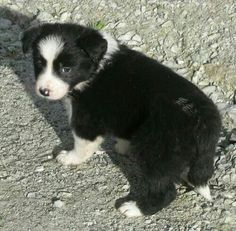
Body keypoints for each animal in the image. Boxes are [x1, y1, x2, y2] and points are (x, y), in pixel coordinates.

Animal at [21, 23, 221, 217]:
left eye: (66, 69)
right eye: (39, 63)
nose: (44, 91)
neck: (96, 67)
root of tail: (204, 123)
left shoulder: (86, 118)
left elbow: (82, 144)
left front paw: (70, 157)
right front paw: (124, 147)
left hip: (157, 152)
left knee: (165, 191)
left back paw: (134, 209)